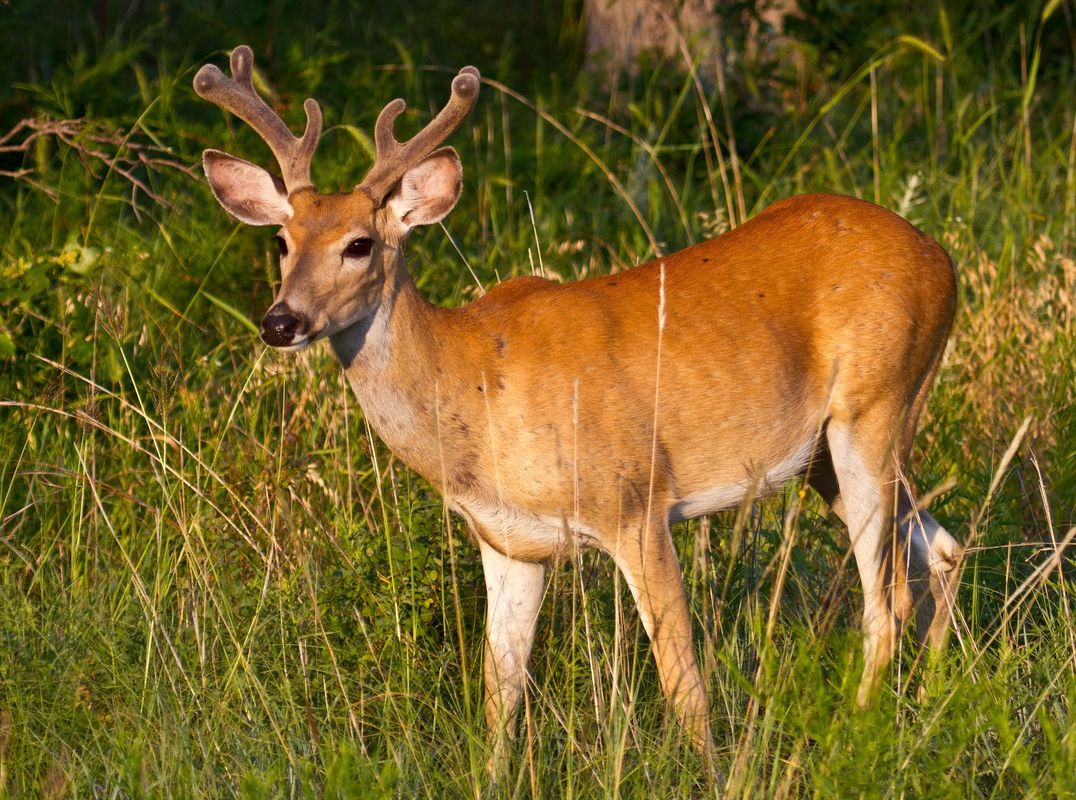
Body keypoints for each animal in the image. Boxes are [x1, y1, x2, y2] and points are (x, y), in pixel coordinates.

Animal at [195, 46, 968, 766]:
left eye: (359, 244)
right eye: (282, 241)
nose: (281, 321)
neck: (473, 384)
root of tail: (944, 260)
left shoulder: (632, 500)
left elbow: (681, 675)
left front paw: (707, 771)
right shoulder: (509, 541)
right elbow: (499, 690)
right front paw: (494, 775)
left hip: (874, 407)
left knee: (886, 600)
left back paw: (857, 734)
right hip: (827, 457)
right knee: (943, 550)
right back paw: (932, 700)